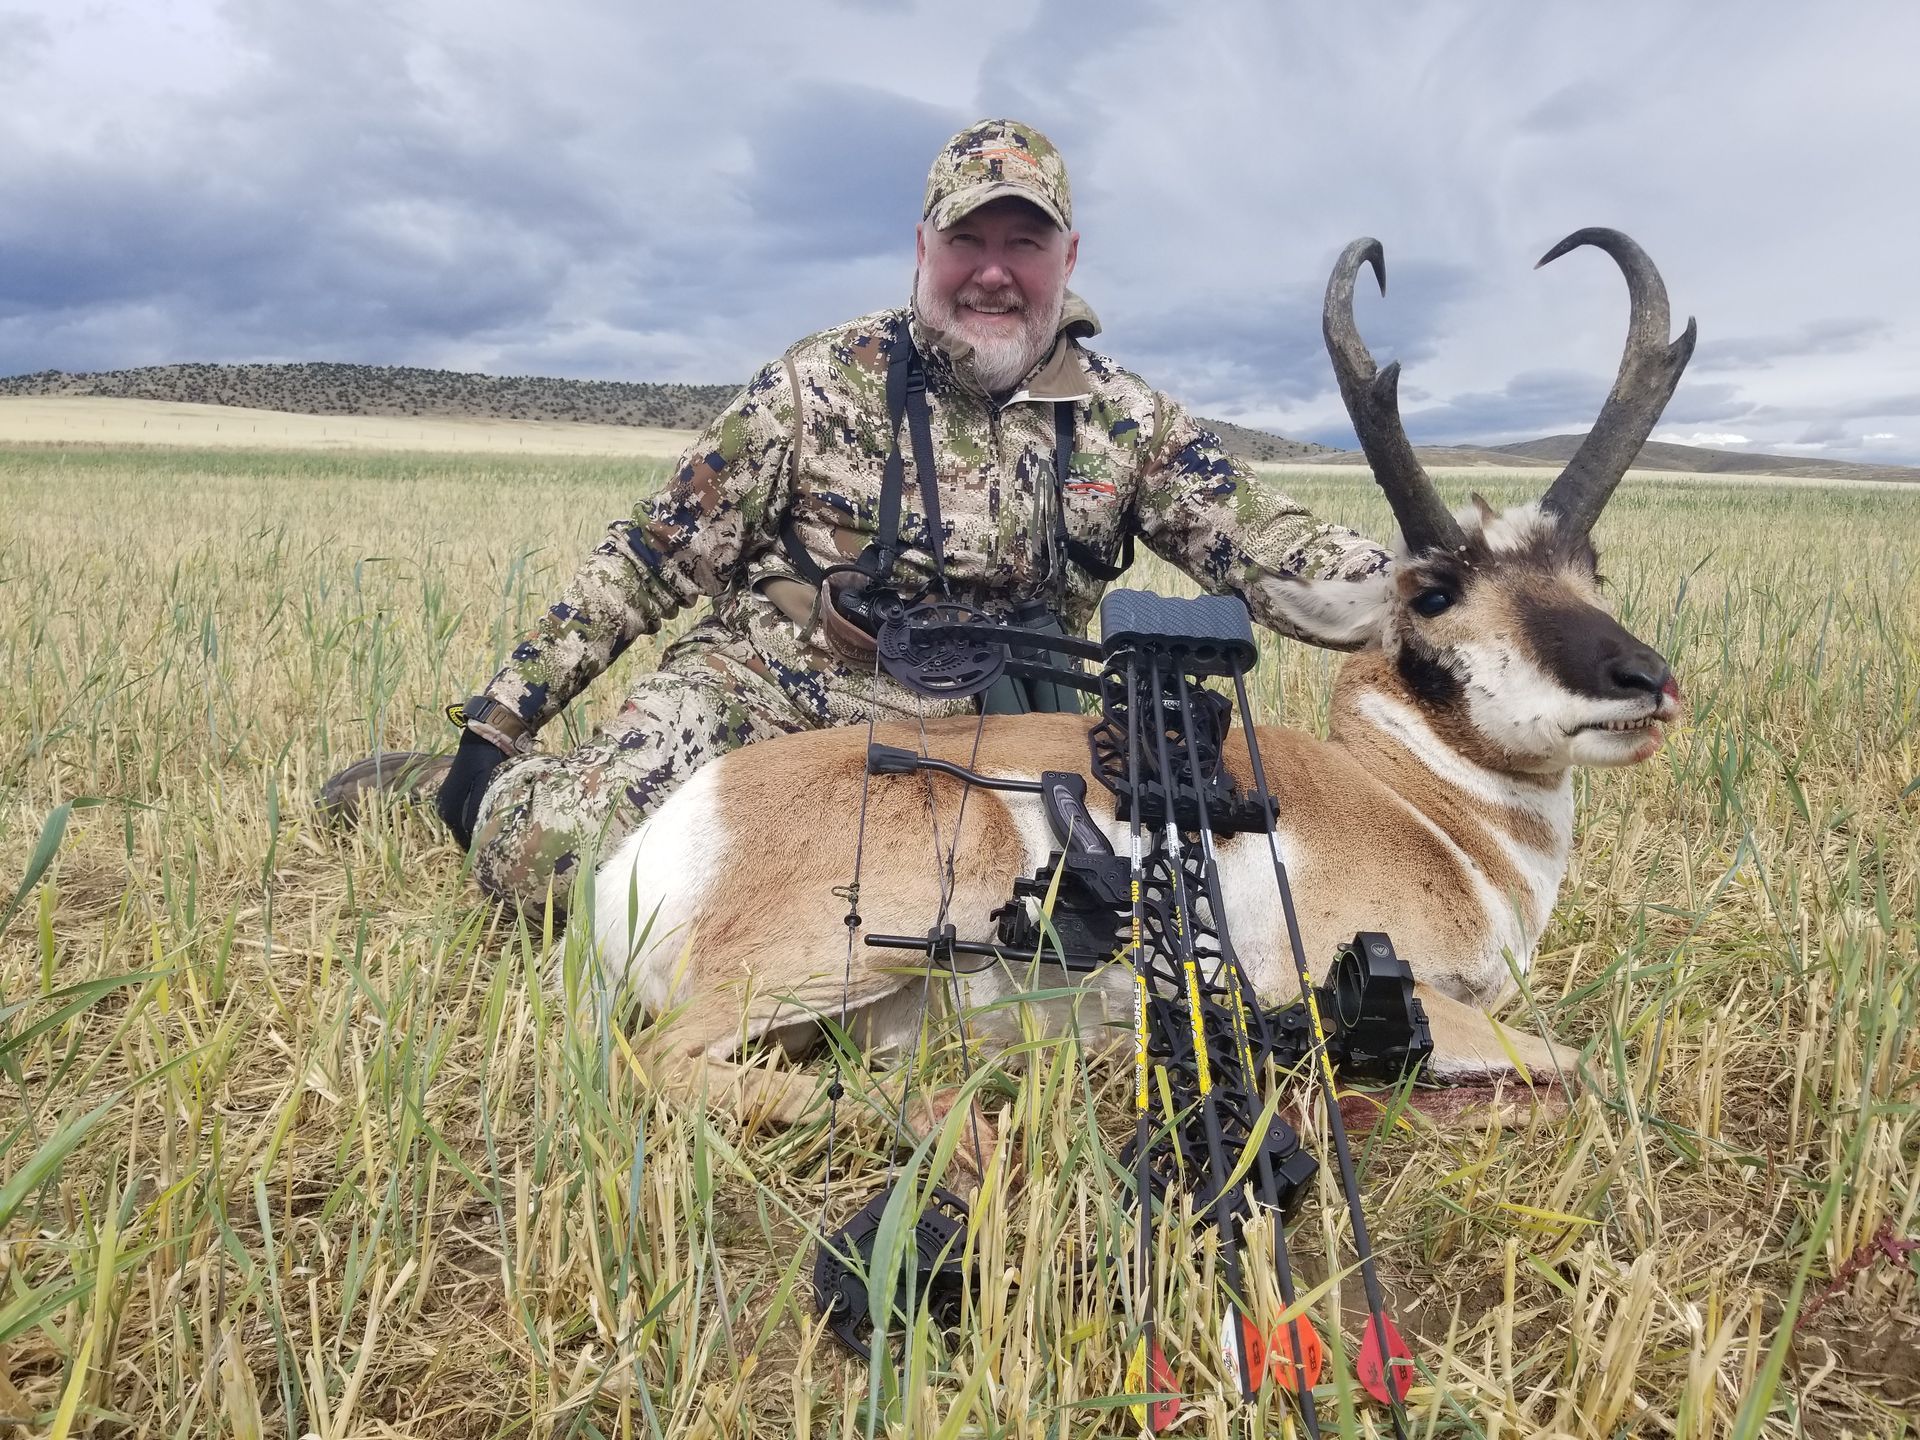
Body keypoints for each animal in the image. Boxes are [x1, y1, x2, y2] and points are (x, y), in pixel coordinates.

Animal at [588, 229, 1695, 1131]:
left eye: (1589, 568)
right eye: (1434, 592)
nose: (1646, 680)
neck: (1415, 806)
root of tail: (653, 846)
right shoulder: (1378, 991)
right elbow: (1590, 1071)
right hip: (857, 945)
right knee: (655, 1066)